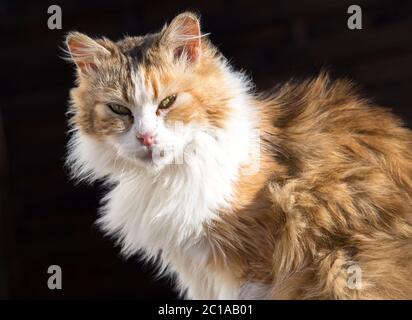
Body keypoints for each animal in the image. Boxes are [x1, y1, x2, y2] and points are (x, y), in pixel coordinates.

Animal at [64, 11, 412, 298]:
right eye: (119, 109)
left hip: (339, 265)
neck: (172, 174)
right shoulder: (199, 273)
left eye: (168, 102)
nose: (146, 137)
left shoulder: (254, 268)